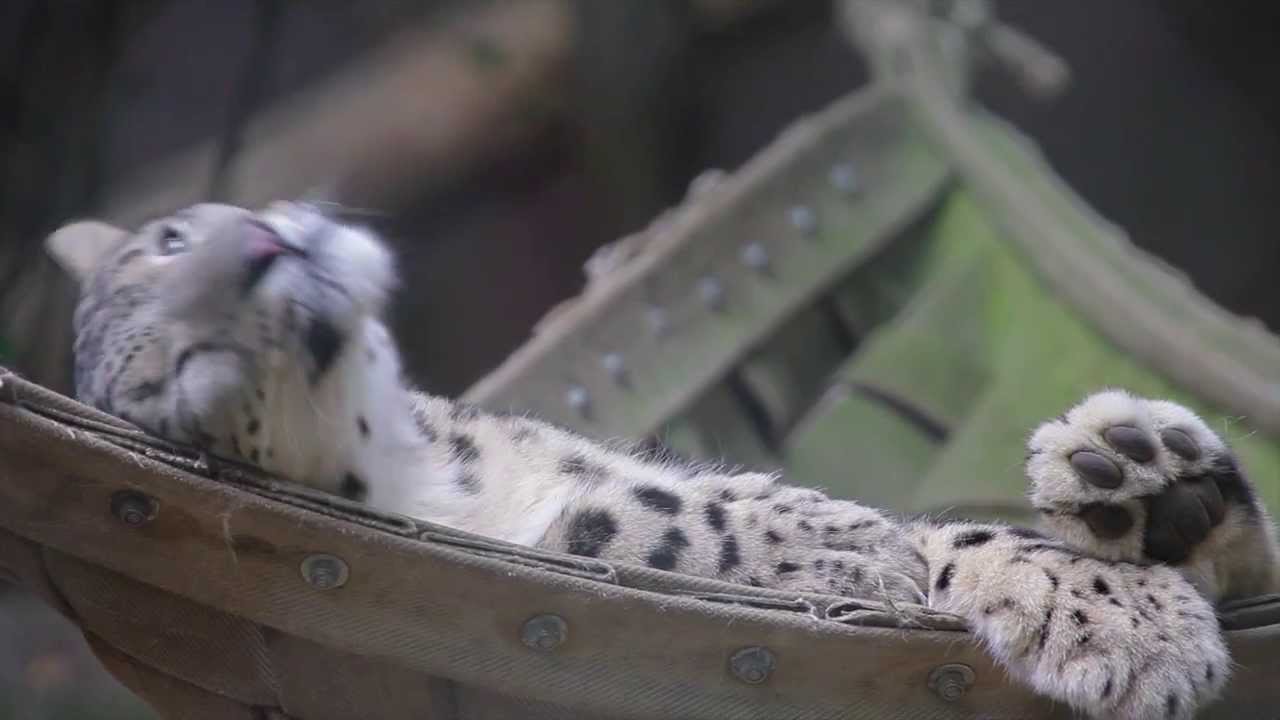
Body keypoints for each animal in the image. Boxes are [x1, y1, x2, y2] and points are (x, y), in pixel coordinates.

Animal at [46, 201, 1280, 719]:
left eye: (169, 239)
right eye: (186, 372)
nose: (261, 249)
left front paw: (1127, 567)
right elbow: (669, 520)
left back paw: (1145, 475)